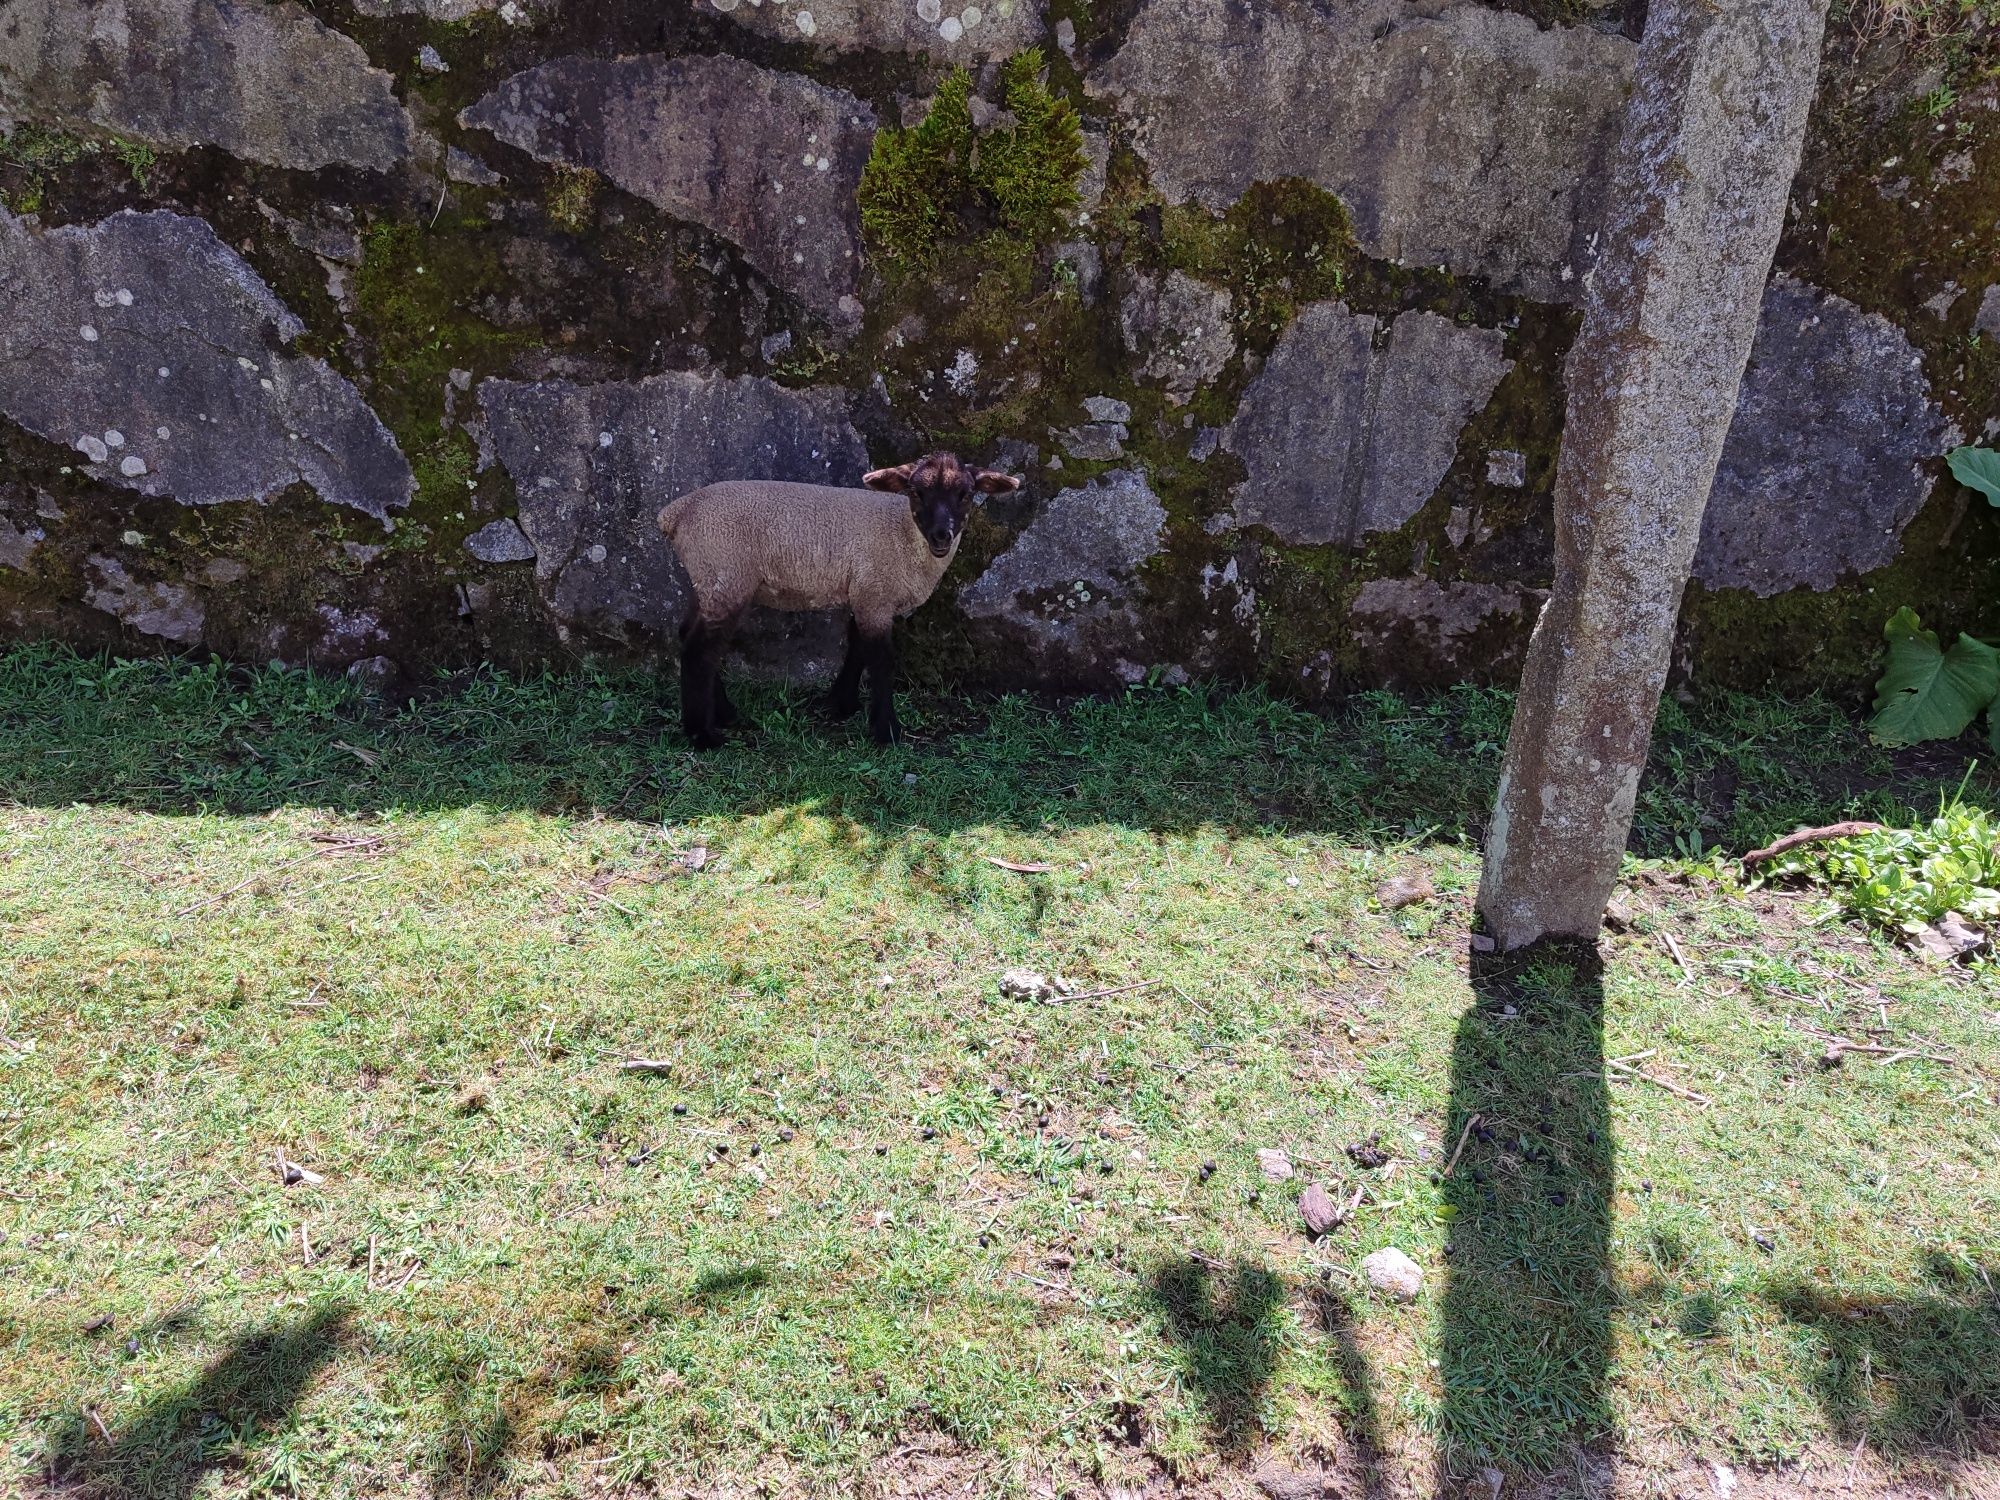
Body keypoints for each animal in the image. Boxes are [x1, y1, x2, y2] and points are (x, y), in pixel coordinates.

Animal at [664, 450, 1024, 748]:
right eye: (916, 493)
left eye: (966, 495)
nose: (941, 535)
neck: (904, 535)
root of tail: (677, 512)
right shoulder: (875, 593)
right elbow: (880, 660)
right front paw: (886, 730)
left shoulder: (864, 592)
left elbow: (857, 648)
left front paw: (842, 704)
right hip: (727, 576)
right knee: (700, 651)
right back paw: (702, 734)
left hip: (708, 579)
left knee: (688, 635)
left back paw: (724, 713)